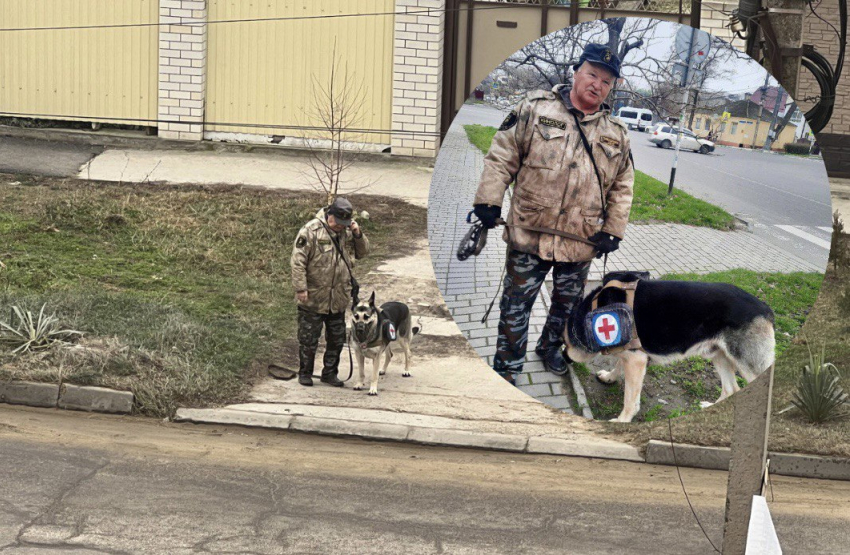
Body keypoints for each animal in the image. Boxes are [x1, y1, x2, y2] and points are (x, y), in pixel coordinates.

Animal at [568, 272, 772, 422]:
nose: (565, 358)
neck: (593, 309)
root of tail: (765, 307)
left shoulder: (635, 360)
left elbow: (630, 401)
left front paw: (621, 421)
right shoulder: (632, 354)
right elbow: (619, 363)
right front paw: (610, 377)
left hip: (749, 369)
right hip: (719, 356)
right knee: (731, 389)